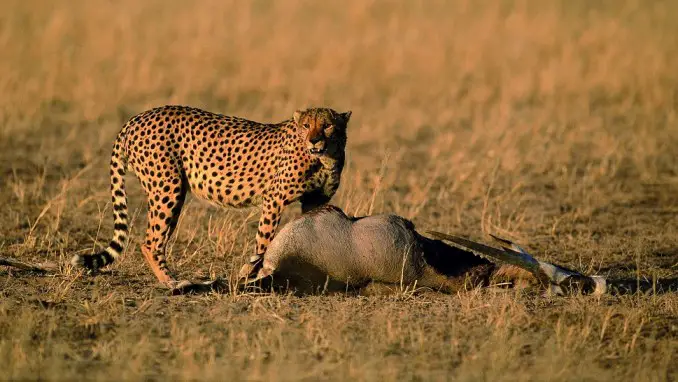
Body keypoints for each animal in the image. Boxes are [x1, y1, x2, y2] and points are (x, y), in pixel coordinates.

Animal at [71, 104, 354, 290]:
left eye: (328, 125)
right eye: (306, 126)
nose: (314, 140)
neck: (324, 158)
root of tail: (137, 117)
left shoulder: (314, 202)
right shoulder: (274, 199)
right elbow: (263, 241)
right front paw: (251, 273)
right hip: (168, 188)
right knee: (150, 241)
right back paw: (170, 281)